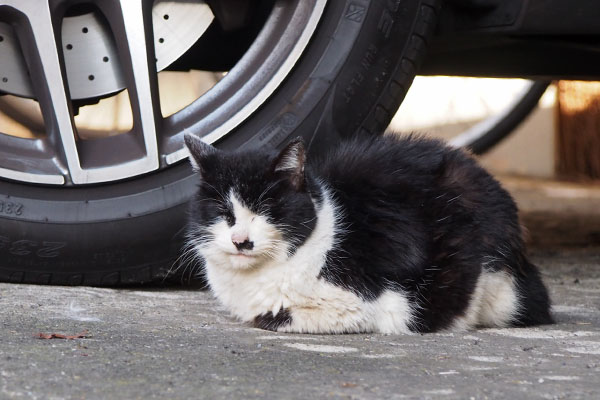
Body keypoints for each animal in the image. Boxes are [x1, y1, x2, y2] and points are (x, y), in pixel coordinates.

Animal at [183, 133, 552, 332]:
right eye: (223, 213)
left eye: (265, 211)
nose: (241, 241)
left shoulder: (369, 302)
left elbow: (274, 317)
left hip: (497, 290)